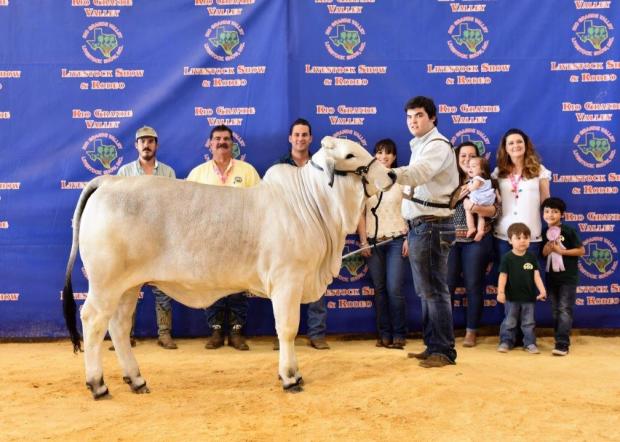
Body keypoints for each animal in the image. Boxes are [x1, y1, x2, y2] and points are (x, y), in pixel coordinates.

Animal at [61, 135, 392, 398]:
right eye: (350, 155)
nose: (390, 172)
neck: (312, 205)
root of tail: (108, 181)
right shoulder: (287, 281)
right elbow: (287, 330)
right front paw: (290, 378)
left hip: (128, 285)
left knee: (118, 326)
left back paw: (137, 380)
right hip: (105, 283)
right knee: (93, 322)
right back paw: (98, 384)